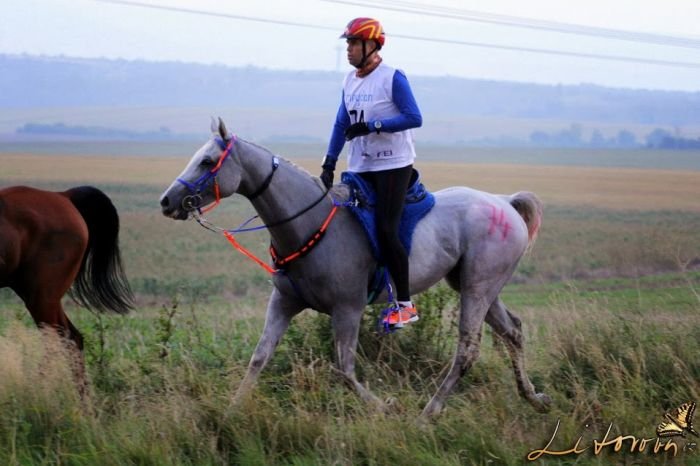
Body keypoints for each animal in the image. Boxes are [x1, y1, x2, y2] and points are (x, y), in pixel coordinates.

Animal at [161, 118, 548, 416]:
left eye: (207, 161)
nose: (167, 201)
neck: (309, 224)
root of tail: (505, 202)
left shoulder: (348, 309)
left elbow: (344, 371)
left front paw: (387, 406)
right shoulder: (284, 303)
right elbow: (259, 358)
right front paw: (231, 412)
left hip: (476, 289)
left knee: (467, 350)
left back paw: (429, 413)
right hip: (478, 286)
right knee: (513, 331)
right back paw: (532, 397)